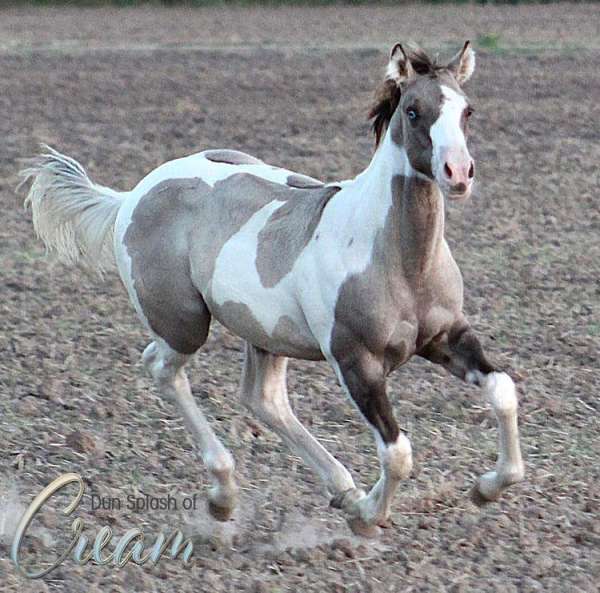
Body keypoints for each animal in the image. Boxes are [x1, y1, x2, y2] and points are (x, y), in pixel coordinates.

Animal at [21, 42, 524, 536]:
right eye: (414, 111)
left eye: (467, 110)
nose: (457, 173)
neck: (398, 260)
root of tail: (133, 194)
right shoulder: (356, 362)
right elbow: (397, 452)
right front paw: (367, 519)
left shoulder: (447, 337)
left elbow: (502, 390)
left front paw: (486, 488)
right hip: (185, 324)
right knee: (163, 368)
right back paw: (225, 495)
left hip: (265, 333)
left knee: (263, 399)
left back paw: (342, 490)